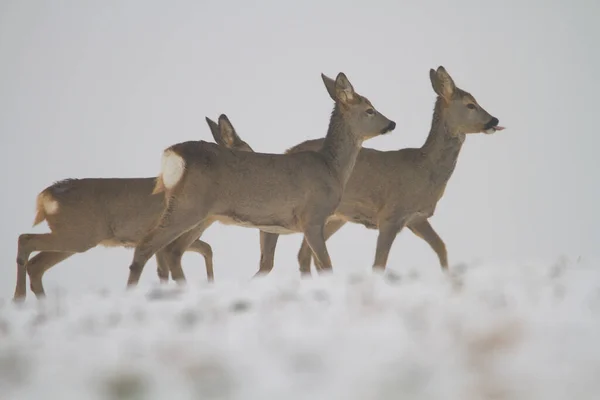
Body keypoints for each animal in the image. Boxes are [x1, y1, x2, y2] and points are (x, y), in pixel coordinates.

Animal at [14, 124, 253, 300]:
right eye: (248, 151)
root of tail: (45, 196)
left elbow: (199, 252)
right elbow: (184, 259)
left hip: (73, 237)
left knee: (36, 264)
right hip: (79, 235)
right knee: (25, 240)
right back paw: (18, 298)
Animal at [125, 71, 398, 284]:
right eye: (370, 110)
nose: (392, 123)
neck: (331, 168)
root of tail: (172, 154)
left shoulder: (272, 226)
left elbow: (268, 266)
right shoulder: (312, 217)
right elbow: (326, 265)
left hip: (193, 211)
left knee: (170, 250)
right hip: (189, 205)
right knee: (147, 247)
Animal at [253, 66, 502, 278]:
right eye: (471, 105)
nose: (494, 119)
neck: (426, 170)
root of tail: (288, 150)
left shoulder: (416, 217)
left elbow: (441, 247)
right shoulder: (391, 214)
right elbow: (379, 264)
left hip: (334, 217)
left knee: (303, 256)